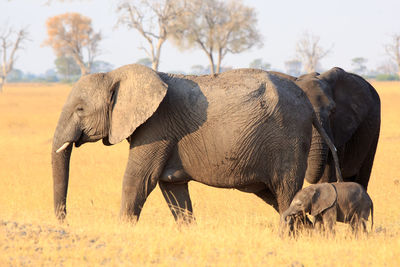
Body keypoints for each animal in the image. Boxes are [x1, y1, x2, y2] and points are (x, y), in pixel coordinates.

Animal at [51, 65, 342, 224]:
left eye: (80, 109)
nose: (65, 221)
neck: (116, 74)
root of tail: (309, 107)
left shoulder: (156, 127)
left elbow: (138, 181)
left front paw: (123, 230)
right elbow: (173, 191)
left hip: (288, 141)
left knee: (285, 192)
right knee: (278, 197)